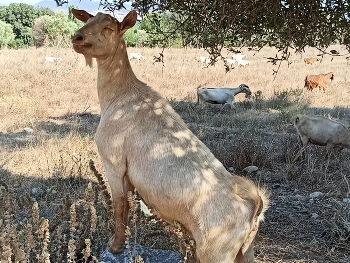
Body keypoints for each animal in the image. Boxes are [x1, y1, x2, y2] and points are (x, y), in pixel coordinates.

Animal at [70, 8, 268, 263]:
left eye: (109, 27)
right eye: (89, 20)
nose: (78, 38)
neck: (120, 96)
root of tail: (253, 204)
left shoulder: (113, 162)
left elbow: (120, 206)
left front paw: (115, 246)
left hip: (216, 252)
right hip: (245, 250)